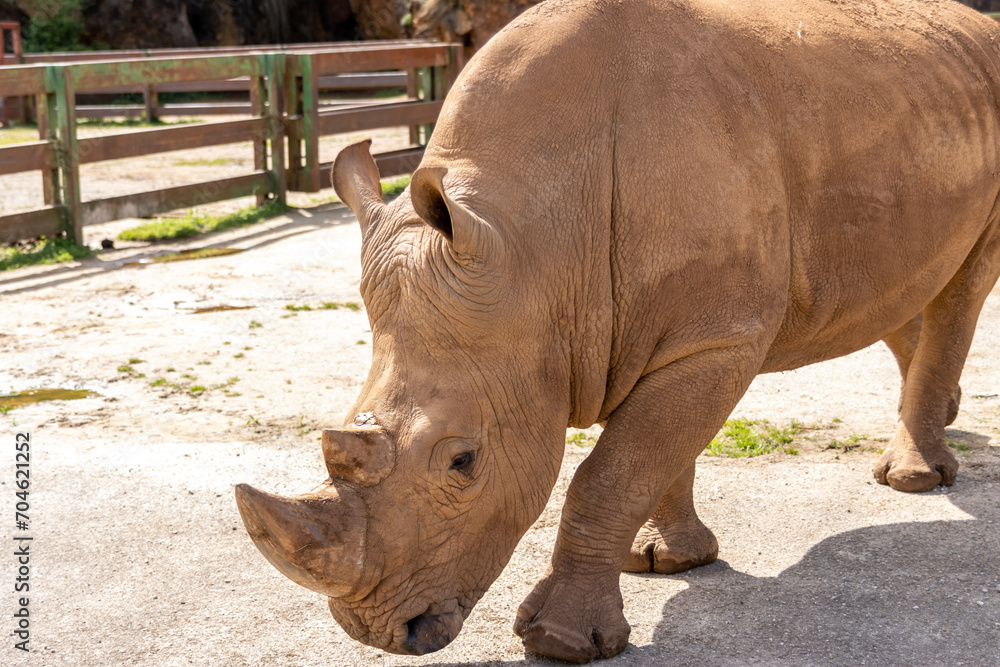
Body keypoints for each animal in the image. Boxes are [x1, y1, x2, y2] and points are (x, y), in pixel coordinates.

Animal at [235, 0, 1000, 661]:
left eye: (463, 462)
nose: (374, 632)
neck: (537, 244)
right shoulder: (646, 328)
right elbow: (655, 454)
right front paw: (663, 559)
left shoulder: (713, 335)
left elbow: (612, 472)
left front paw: (564, 642)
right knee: (906, 287)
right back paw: (945, 421)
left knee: (962, 287)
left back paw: (914, 481)